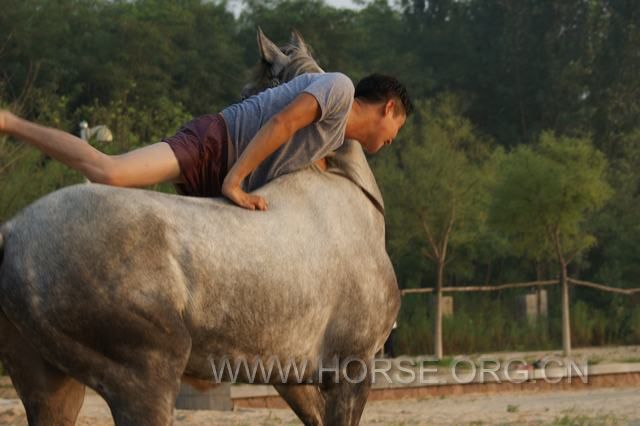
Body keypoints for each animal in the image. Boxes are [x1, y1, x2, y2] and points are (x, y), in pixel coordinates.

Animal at [0, 29, 400, 425]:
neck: (348, 192)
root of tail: (12, 230)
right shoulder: (352, 370)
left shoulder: (288, 376)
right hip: (146, 379)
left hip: (50, 386)